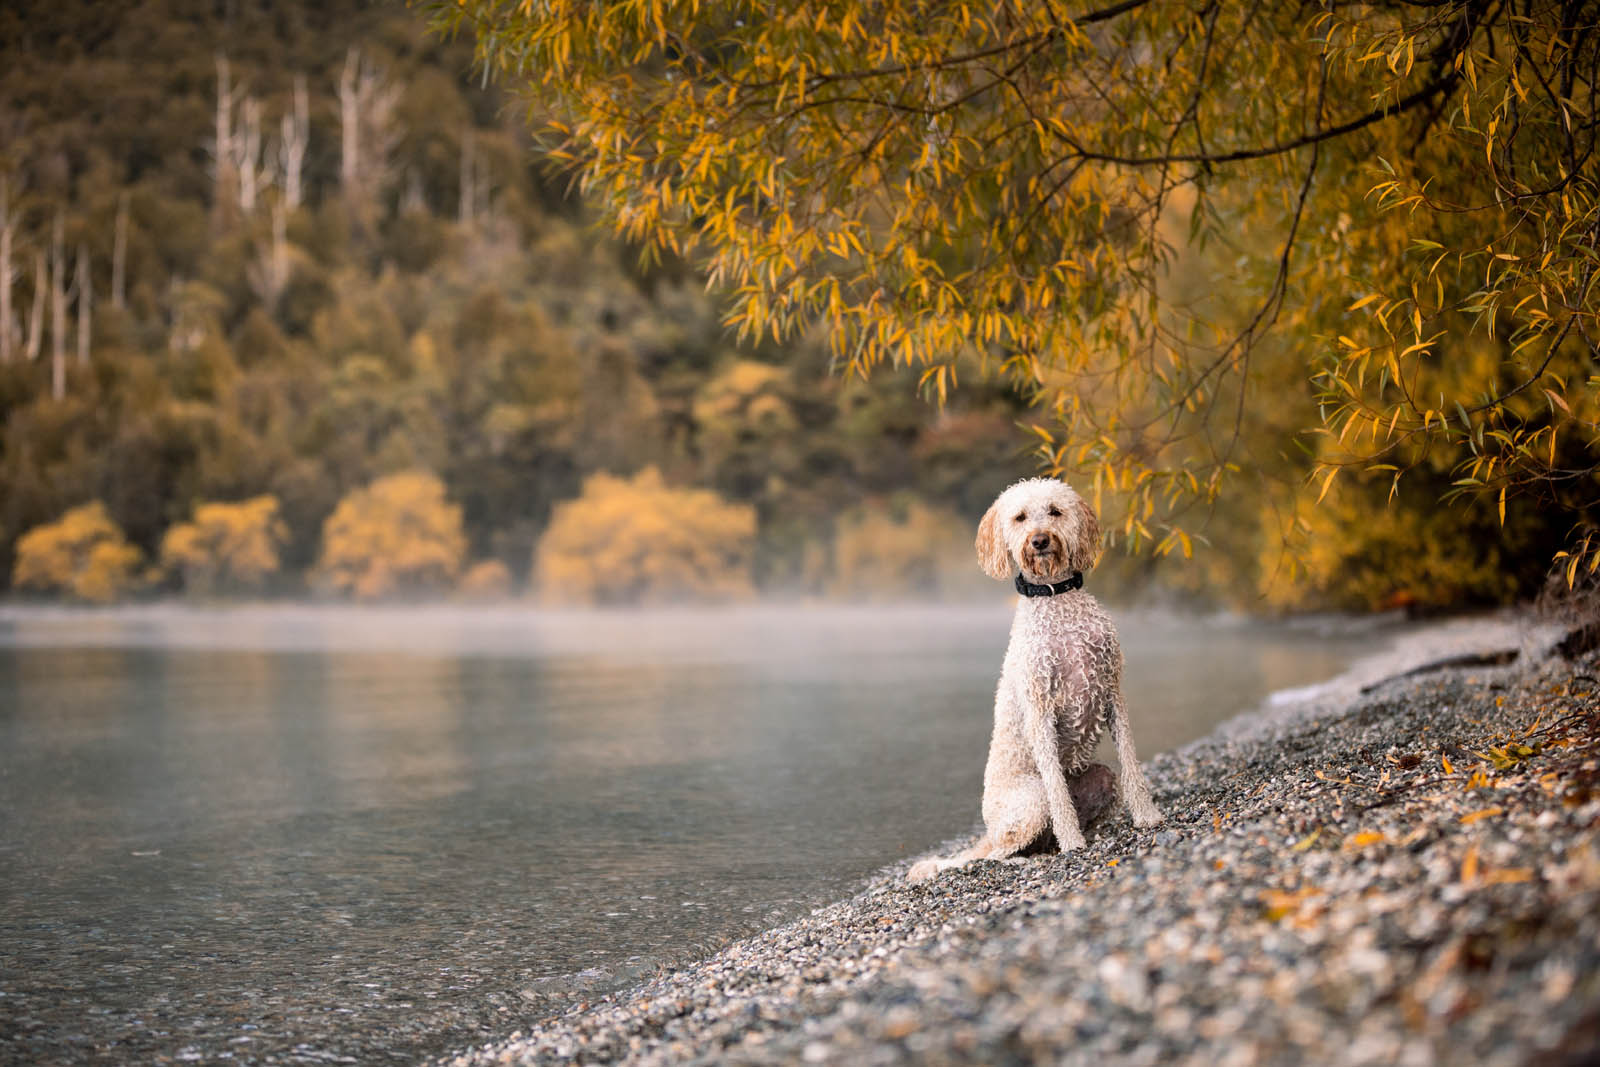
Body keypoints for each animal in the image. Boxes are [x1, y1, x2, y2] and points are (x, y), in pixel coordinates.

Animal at [915, 479, 1164, 883]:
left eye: (1055, 511)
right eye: (1019, 517)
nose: (1039, 540)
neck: (1055, 597)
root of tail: (990, 830)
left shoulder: (1113, 693)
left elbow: (1131, 763)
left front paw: (1147, 816)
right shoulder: (1040, 710)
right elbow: (1058, 792)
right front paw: (1074, 844)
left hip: (1101, 778)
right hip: (1031, 801)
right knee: (997, 853)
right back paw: (1028, 856)